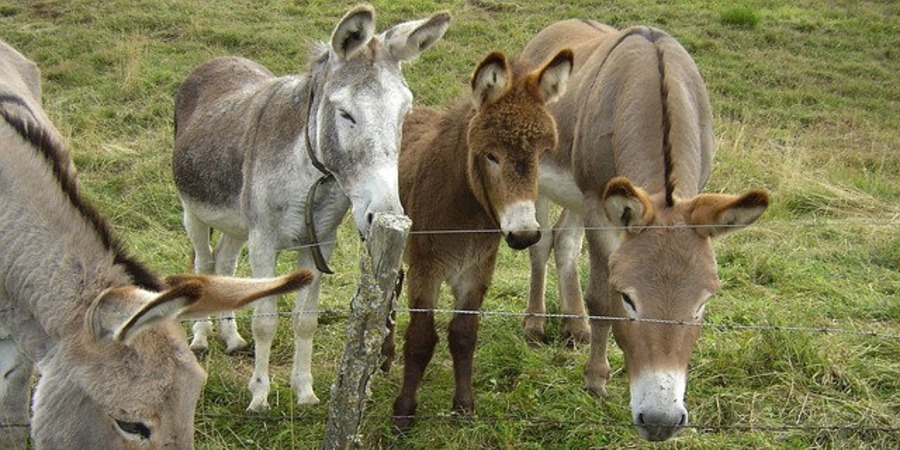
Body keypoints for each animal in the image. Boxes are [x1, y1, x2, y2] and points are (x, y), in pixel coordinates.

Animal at [388, 48, 572, 432]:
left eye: (541, 155)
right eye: (491, 155)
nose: (525, 234)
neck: (465, 213)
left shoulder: (477, 272)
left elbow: (464, 334)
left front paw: (464, 407)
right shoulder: (427, 271)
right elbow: (421, 339)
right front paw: (403, 413)